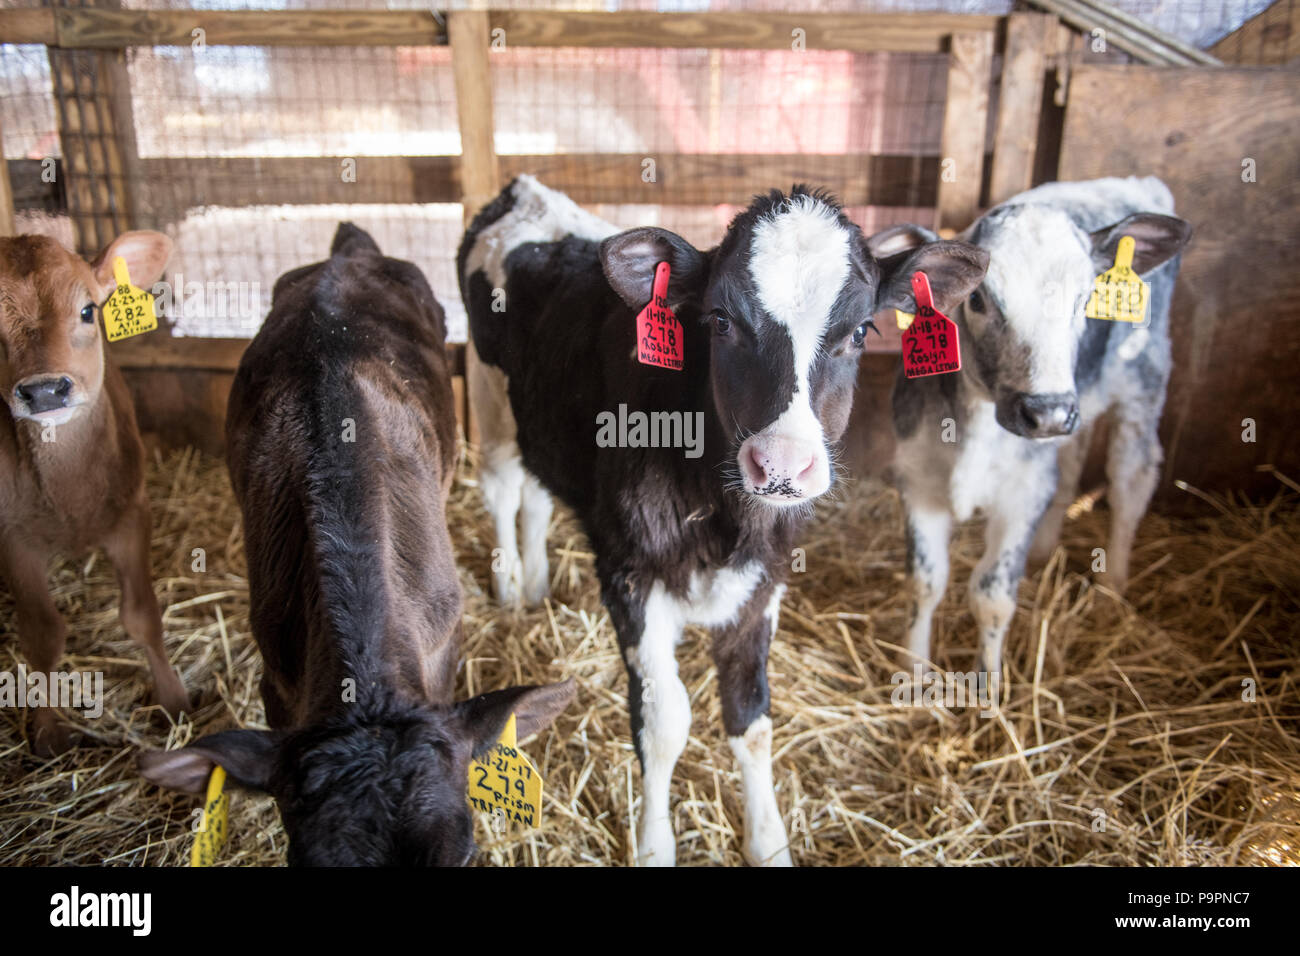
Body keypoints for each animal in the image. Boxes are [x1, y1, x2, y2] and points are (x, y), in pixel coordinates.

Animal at [0, 231, 189, 754]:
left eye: (88, 310)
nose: (45, 391)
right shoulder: (13, 541)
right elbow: (43, 633)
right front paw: (47, 731)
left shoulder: (131, 516)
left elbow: (141, 615)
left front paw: (174, 701)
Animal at [457, 174, 982, 868]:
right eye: (722, 321)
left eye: (860, 332)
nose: (781, 461)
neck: (726, 521)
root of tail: (526, 190)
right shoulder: (631, 576)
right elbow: (663, 724)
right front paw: (654, 846)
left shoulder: (763, 583)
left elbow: (750, 717)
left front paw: (768, 842)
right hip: (487, 396)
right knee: (499, 487)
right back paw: (511, 585)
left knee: (537, 492)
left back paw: (538, 582)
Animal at [889, 175, 1190, 686]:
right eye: (977, 299)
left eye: (1084, 299)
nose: (1046, 411)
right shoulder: (917, 477)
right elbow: (925, 582)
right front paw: (914, 668)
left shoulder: (1023, 491)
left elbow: (991, 595)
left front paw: (988, 685)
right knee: (1069, 470)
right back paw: (1045, 551)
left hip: (1142, 383)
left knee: (1131, 480)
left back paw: (1111, 591)